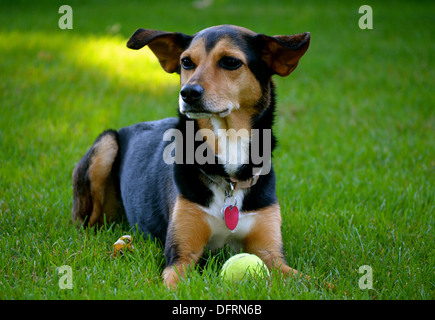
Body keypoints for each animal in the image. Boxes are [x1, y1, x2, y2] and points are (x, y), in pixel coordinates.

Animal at [71, 23, 310, 286]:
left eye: (231, 62)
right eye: (186, 62)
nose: (188, 93)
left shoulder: (272, 255)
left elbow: (314, 281)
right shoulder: (181, 255)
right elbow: (174, 283)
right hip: (106, 144)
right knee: (86, 224)